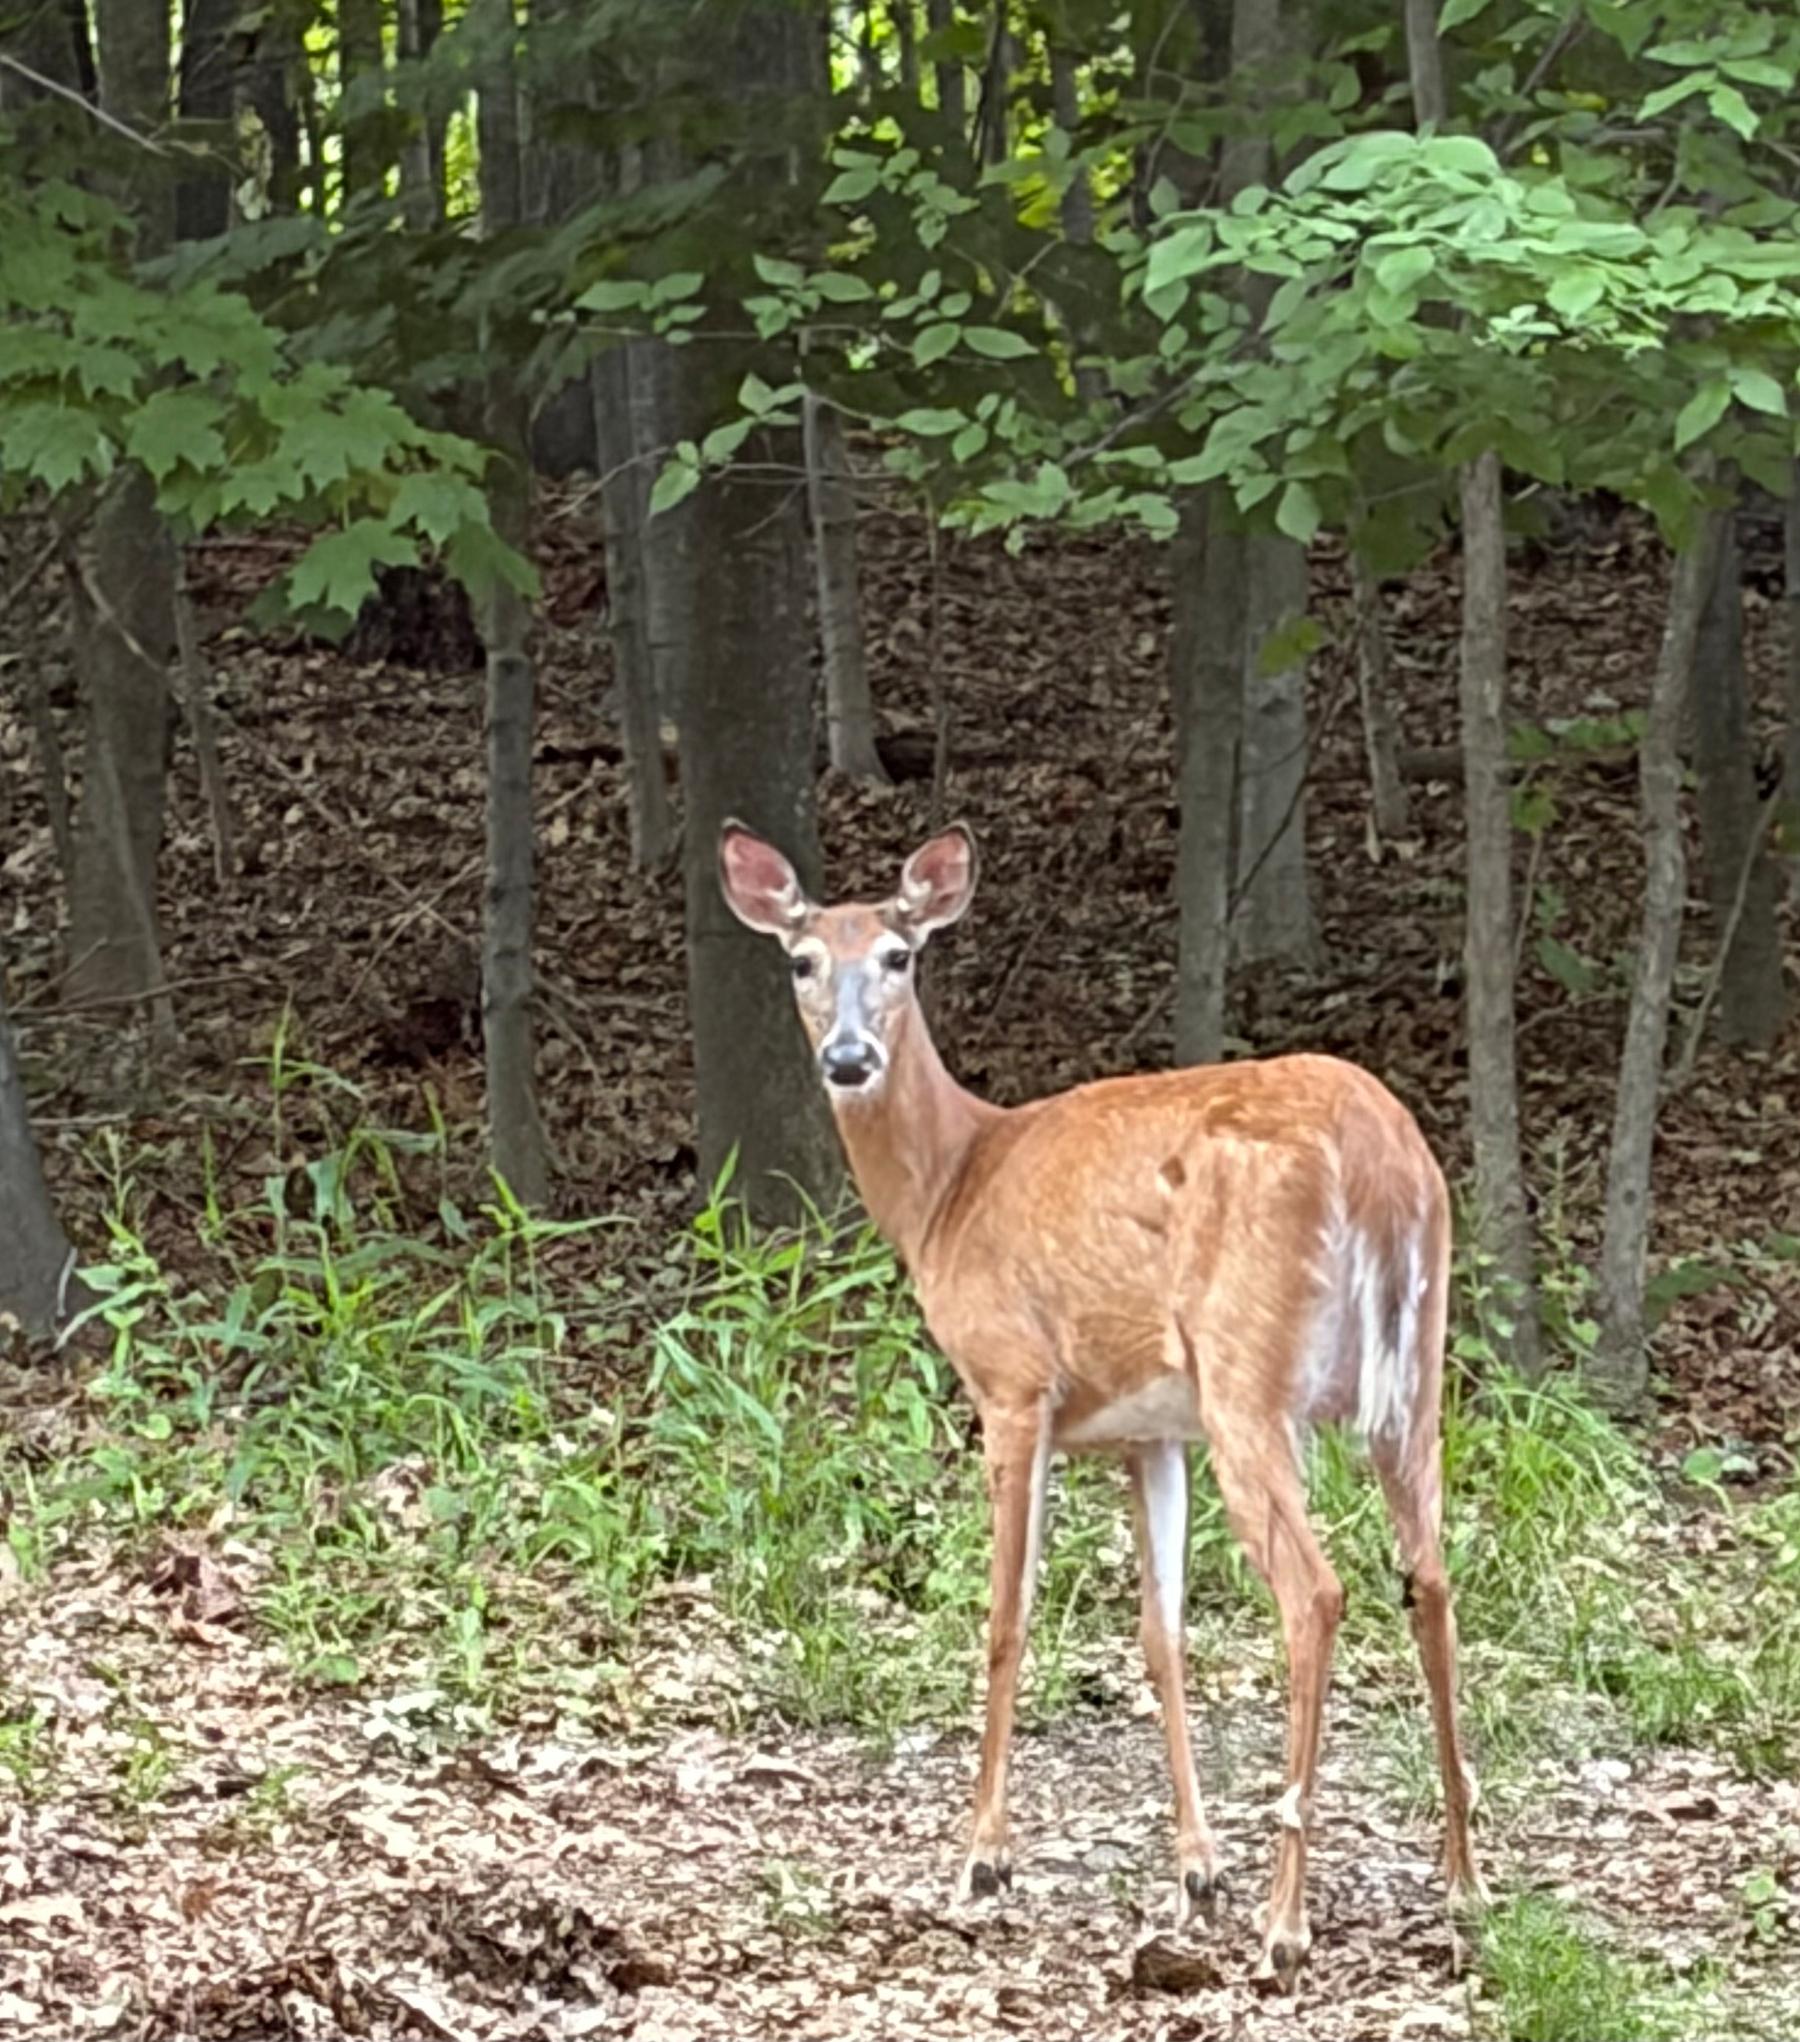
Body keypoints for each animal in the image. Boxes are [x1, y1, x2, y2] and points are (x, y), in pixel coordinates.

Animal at [717, 818, 1484, 1990]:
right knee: (1430, 1576)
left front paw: (983, 1857)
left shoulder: (1012, 1382)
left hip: (1247, 1374)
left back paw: (1287, 1922)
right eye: (803, 961)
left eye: (898, 955)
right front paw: (1196, 1871)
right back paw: (1463, 1883)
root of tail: (1385, 1157)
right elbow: (1162, 1634)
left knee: (1316, 1592)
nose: (848, 1058)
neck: (950, 1189)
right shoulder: (1148, 1431)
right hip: (1413, 1379)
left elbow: (1006, 1615)